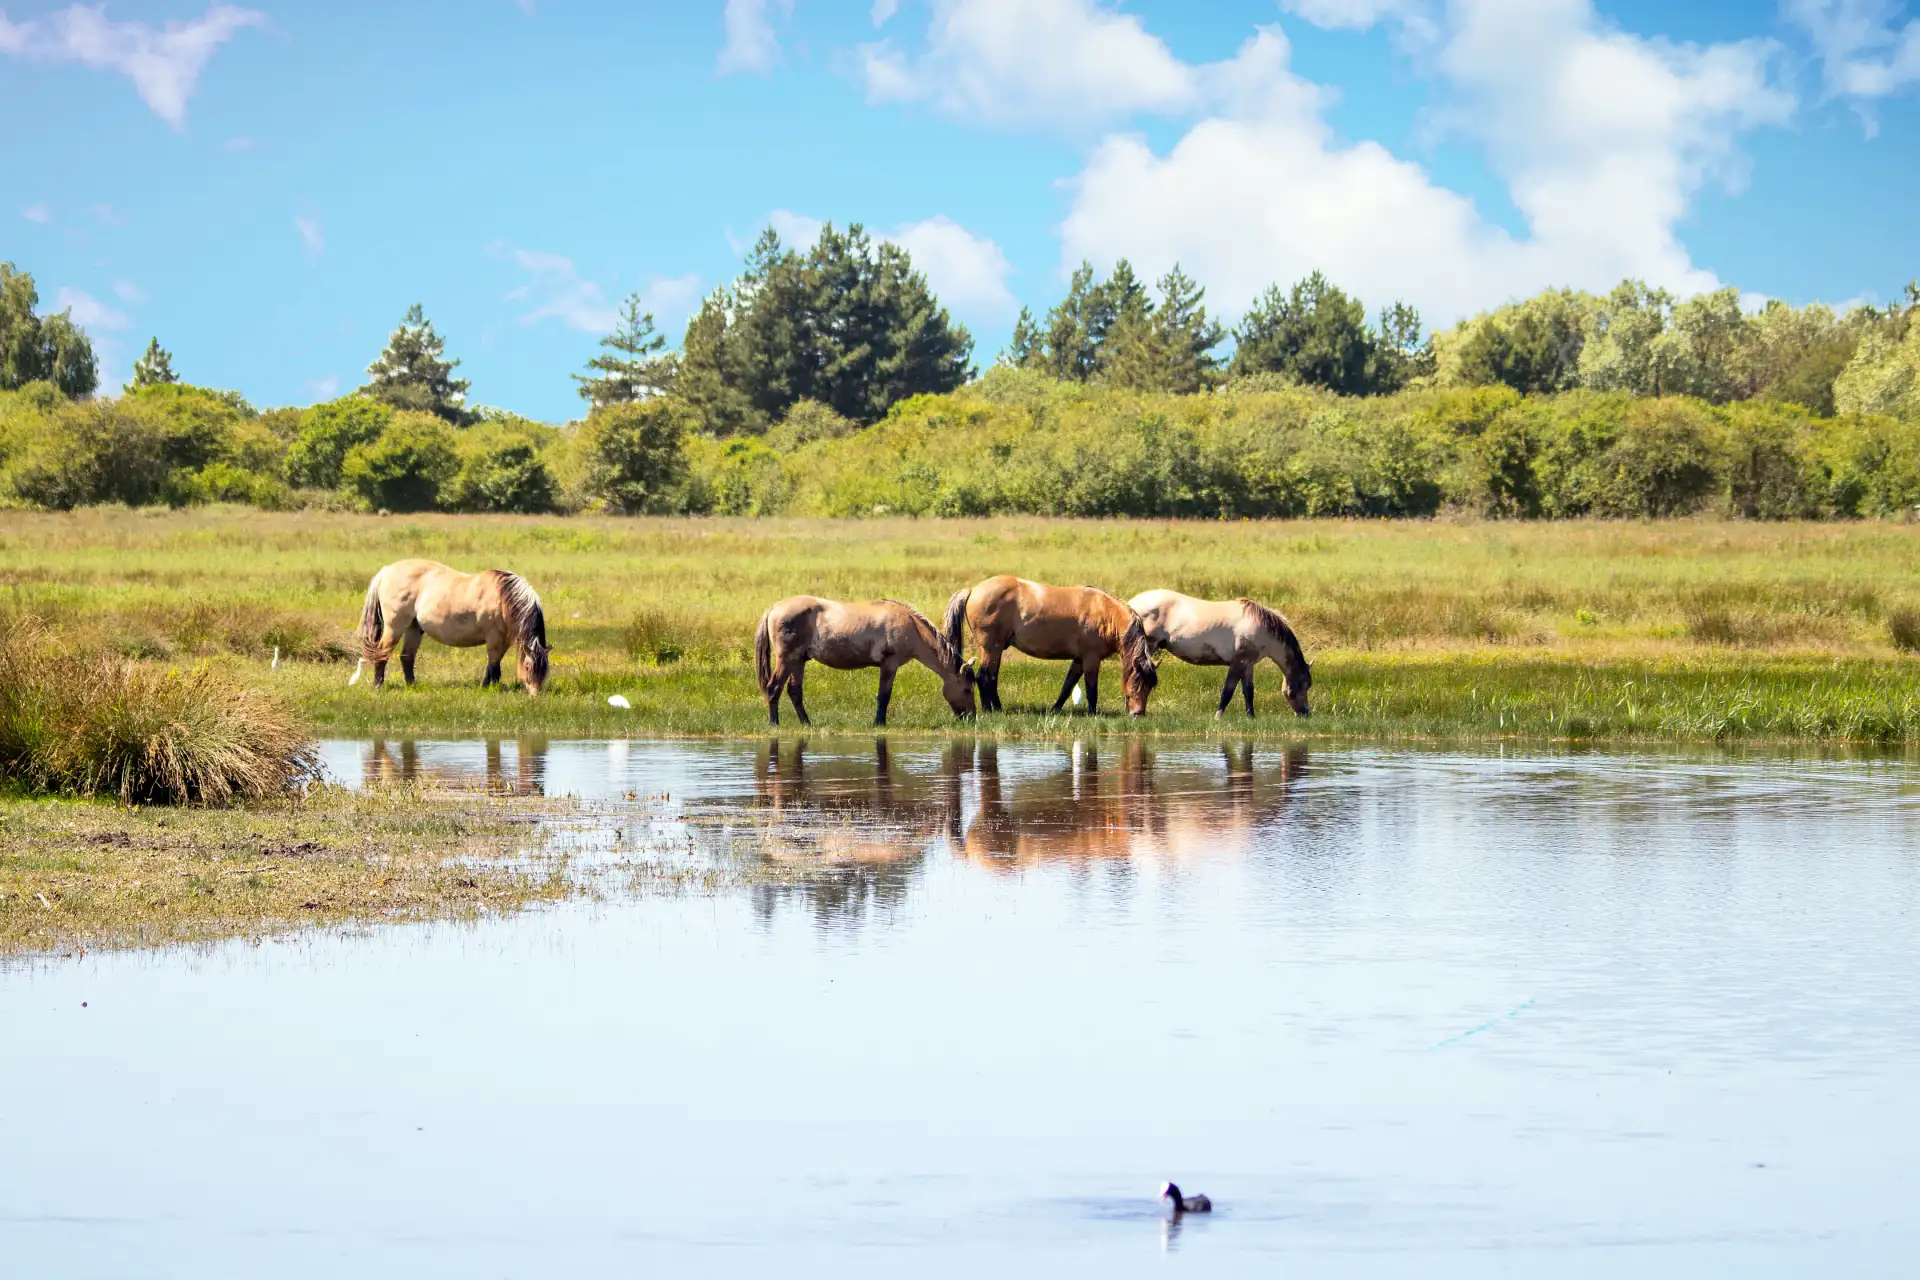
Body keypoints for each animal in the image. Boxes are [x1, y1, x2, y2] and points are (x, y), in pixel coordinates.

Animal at [348, 559, 550, 694]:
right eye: (527, 668)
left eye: (545, 670)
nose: (535, 694)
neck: (503, 597)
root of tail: (386, 571)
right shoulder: (493, 638)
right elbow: (493, 665)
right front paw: (486, 687)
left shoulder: (505, 640)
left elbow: (496, 665)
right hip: (394, 626)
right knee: (382, 653)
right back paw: (378, 686)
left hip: (414, 628)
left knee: (407, 657)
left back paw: (413, 686)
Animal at [754, 596, 976, 727]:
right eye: (967, 689)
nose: (971, 718)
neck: (911, 626)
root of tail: (773, 608)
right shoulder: (889, 664)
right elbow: (883, 696)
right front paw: (879, 723)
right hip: (787, 659)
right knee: (774, 688)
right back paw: (774, 724)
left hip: (799, 661)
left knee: (794, 692)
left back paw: (806, 723)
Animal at [944, 575, 1159, 716]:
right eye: (1137, 683)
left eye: (1150, 687)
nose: (1138, 714)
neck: (1105, 614)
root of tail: (972, 590)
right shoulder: (1091, 659)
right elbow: (1091, 689)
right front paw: (1093, 713)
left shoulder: (1078, 659)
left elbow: (1067, 686)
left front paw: (1055, 710)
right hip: (991, 647)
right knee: (984, 677)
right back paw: (991, 710)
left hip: (995, 649)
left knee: (991, 677)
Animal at [1127, 589, 1311, 717]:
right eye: (1304, 684)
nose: (1305, 713)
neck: (1261, 627)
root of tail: (1131, 603)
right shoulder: (1238, 663)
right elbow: (1227, 691)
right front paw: (1218, 716)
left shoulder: (1248, 664)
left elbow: (1248, 692)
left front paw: (1251, 717)